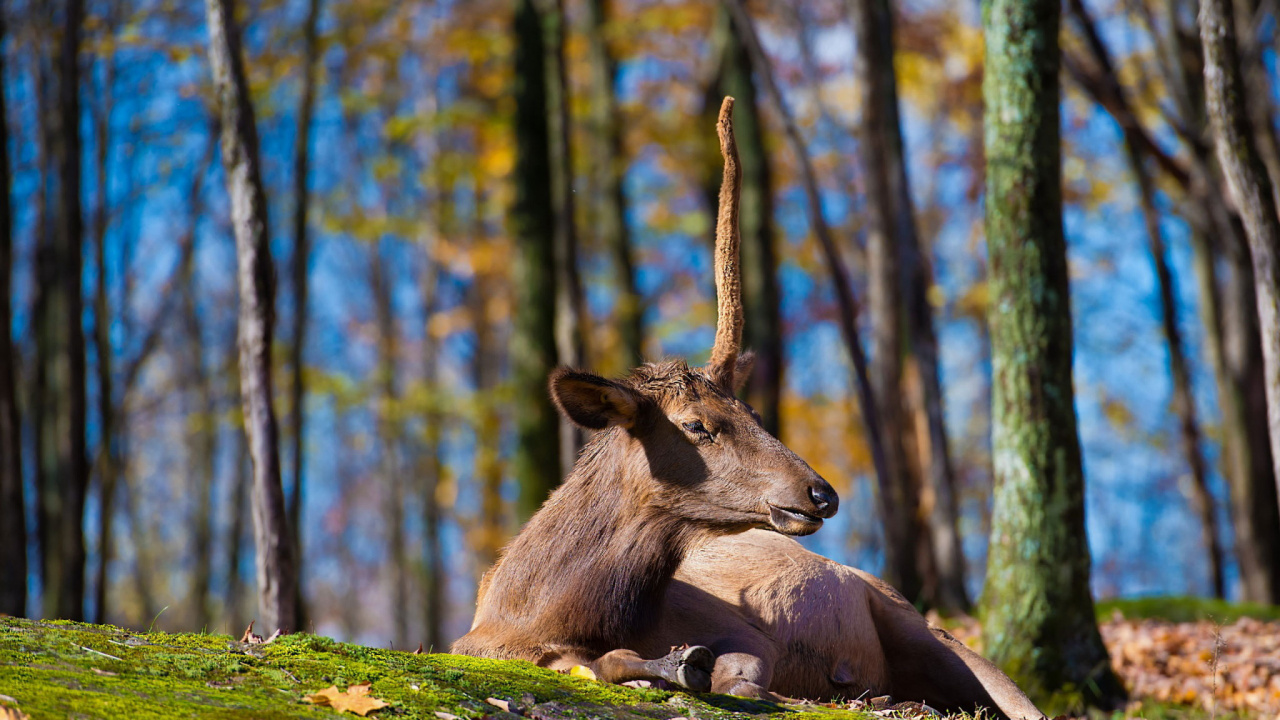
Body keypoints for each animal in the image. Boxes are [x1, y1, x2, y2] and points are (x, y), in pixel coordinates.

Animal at [451, 97, 839, 693]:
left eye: (753, 412)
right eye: (697, 424)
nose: (822, 494)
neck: (531, 615)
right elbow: (599, 661)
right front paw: (673, 662)